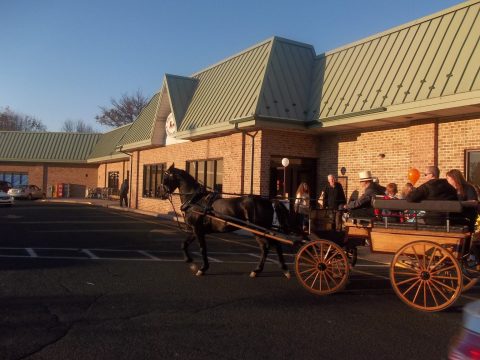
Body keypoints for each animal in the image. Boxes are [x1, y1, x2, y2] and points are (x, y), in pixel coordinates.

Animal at [159, 165, 290, 278]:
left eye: (165, 177)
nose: (160, 193)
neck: (195, 200)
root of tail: (268, 201)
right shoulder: (195, 230)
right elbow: (184, 244)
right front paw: (189, 260)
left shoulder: (198, 230)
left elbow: (202, 248)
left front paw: (202, 268)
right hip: (261, 230)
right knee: (271, 246)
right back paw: (268, 269)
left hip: (258, 229)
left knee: (268, 246)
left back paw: (270, 270)